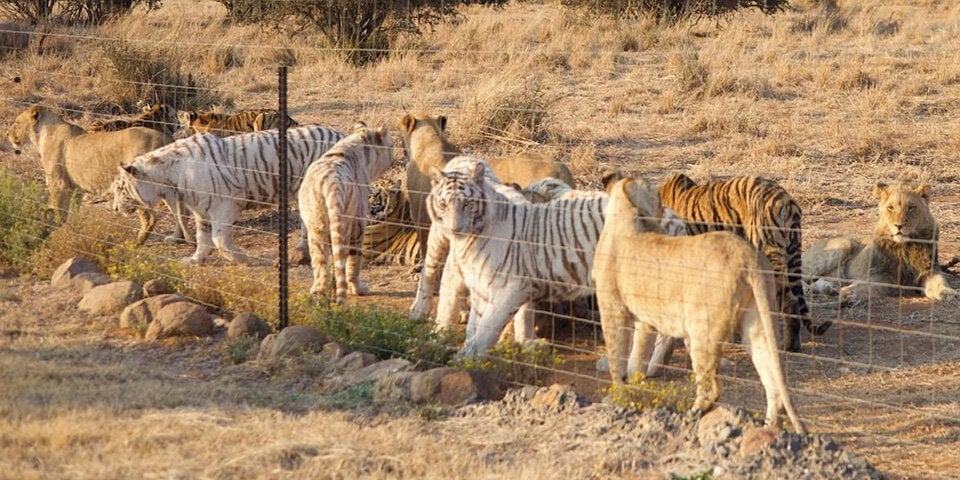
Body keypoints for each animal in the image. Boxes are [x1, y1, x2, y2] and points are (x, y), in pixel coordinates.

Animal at [113, 124, 345, 264]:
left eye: (120, 189)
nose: (114, 208)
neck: (169, 176)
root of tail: (340, 133)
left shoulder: (226, 204)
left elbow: (219, 238)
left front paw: (248, 260)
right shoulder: (201, 209)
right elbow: (203, 239)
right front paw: (194, 260)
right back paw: (302, 249)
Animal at [297, 123, 394, 305]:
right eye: (391, 145)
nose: (394, 156)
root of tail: (330, 184)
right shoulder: (360, 221)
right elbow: (354, 260)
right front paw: (358, 289)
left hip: (316, 226)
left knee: (320, 262)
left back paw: (319, 291)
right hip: (347, 225)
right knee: (345, 258)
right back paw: (353, 289)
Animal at [657, 173, 830, 353]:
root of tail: (786, 200)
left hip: (768, 253)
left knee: (789, 301)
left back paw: (786, 345)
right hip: (791, 254)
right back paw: (793, 343)